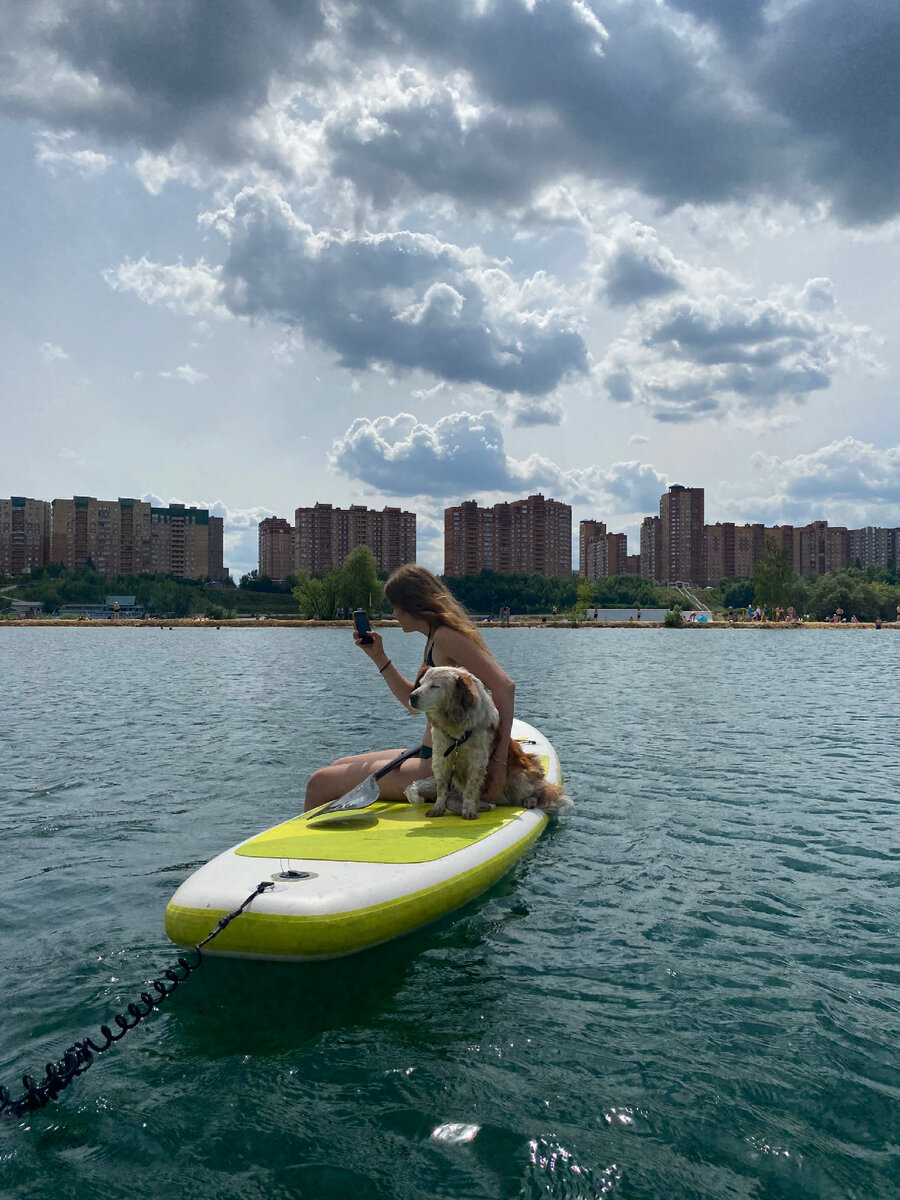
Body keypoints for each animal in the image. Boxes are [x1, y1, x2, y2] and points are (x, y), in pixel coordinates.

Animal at [408, 662, 571, 820]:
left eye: (435, 686)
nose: (411, 696)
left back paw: (529, 800)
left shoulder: (477, 761)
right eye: (420, 683)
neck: (456, 722)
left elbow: (471, 788)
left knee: (541, 792)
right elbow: (442, 788)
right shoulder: (440, 758)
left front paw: (468, 810)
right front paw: (438, 808)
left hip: (519, 776)